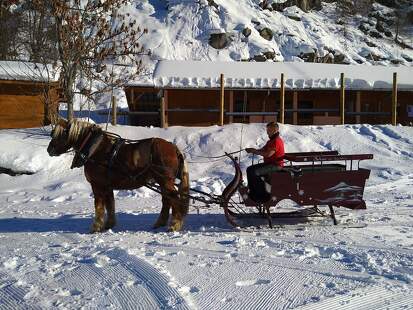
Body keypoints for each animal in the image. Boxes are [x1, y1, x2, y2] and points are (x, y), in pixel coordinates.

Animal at [47, 118, 190, 232]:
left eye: (62, 133)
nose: (49, 149)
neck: (96, 149)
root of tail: (174, 148)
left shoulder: (97, 185)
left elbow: (99, 206)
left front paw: (96, 227)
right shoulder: (107, 186)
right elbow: (110, 204)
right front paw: (108, 225)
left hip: (165, 180)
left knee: (174, 199)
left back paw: (174, 225)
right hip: (162, 182)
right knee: (167, 200)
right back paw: (160, 223)